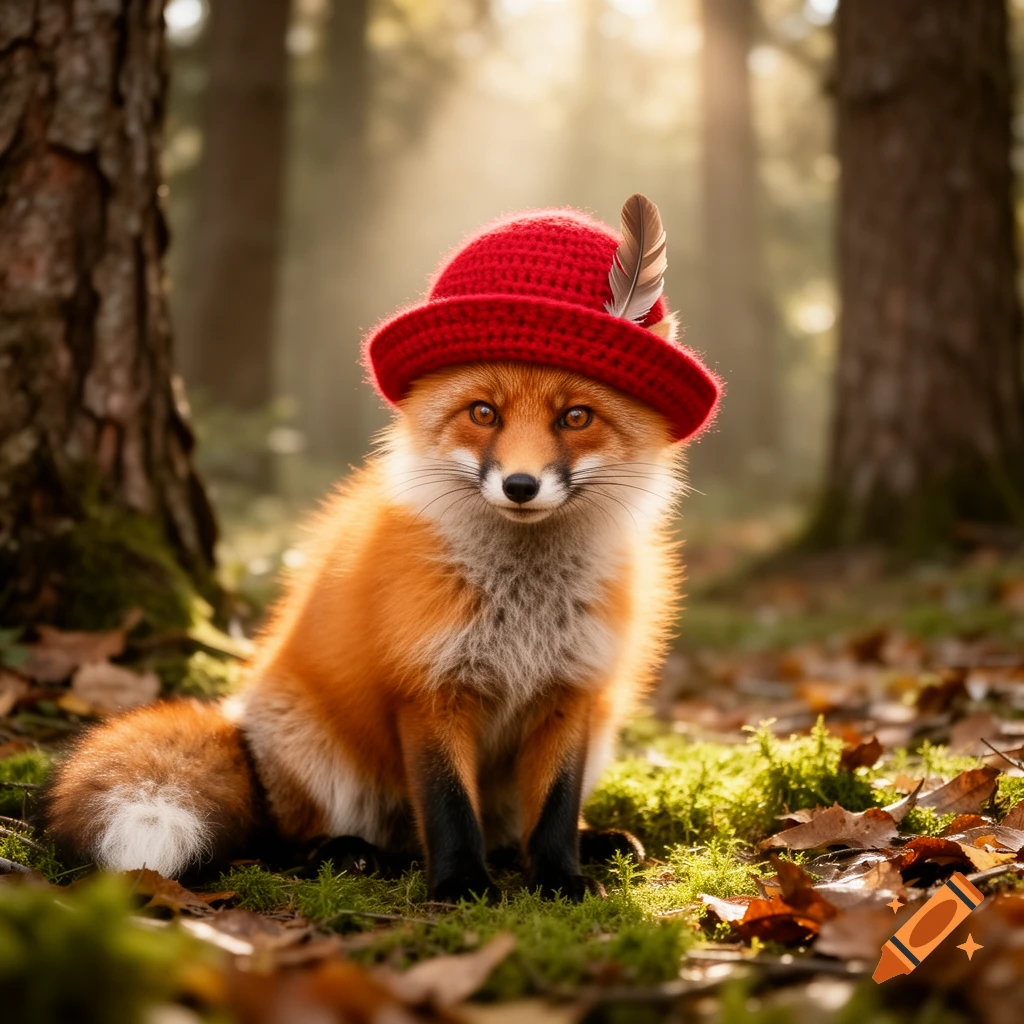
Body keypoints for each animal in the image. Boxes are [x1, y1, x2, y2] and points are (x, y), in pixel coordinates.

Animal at [43, 199, 719, 901]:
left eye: (576, 417)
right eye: (484, 412)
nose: (520, 485)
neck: (522, 608)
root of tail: (239, 720)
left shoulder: (573, 692)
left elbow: (555, 811)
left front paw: (560, 877)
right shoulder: (427, 689)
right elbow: (448, 806)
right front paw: (460, 884)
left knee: (503, 831)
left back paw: (585, 841)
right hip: (316, 759)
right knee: (285, 841)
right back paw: (347, 853)